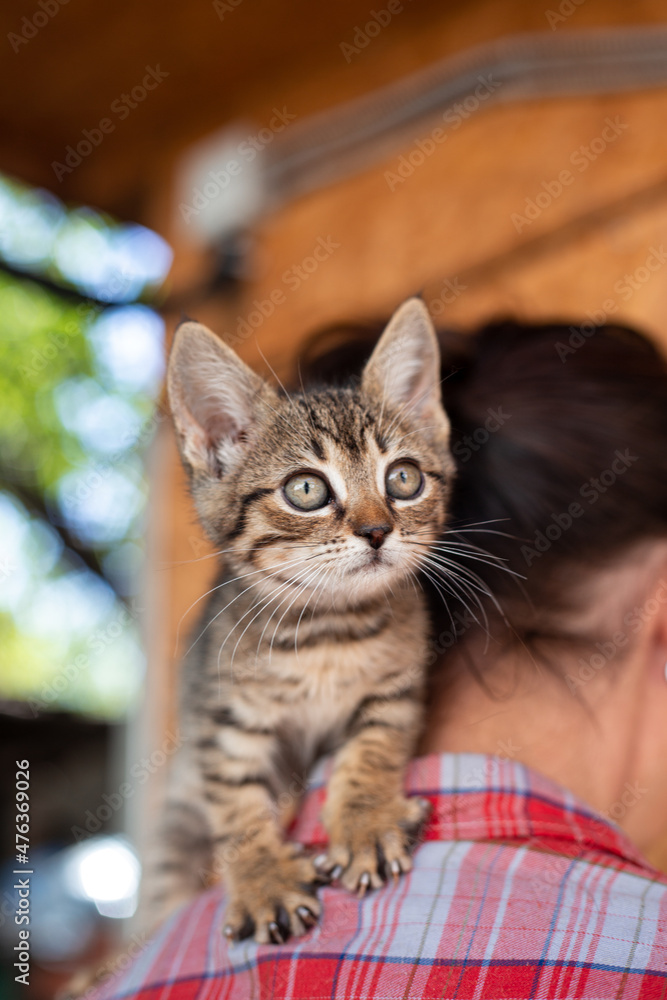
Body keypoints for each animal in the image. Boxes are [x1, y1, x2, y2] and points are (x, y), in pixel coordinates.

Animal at [147, 294, 454, 944]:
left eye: (404, 478)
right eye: (307, 489)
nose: (376, 530)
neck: (325, 635)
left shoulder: (395, 689)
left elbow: (373, 749)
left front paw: (364, 823)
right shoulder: (225, 724)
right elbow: (235, 807)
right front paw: (264, 881)